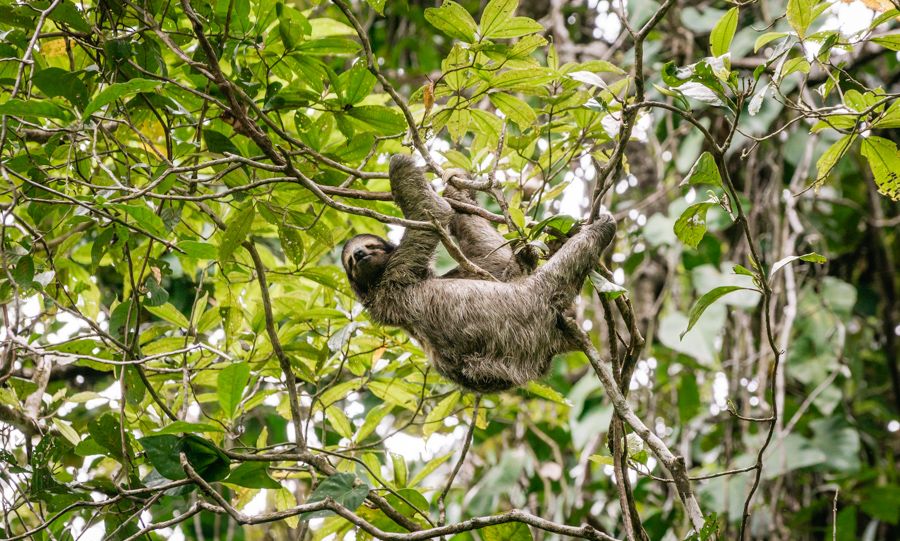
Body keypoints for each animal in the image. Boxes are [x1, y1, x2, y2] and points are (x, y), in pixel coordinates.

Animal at [341, 155, 616, 393]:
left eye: (370, 246)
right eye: (350, 260)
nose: (359, 254)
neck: (377, 283)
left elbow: (493, 259)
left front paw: (455, 185)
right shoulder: (398, 272)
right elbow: (432, 212)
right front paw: (399, 165)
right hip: (528, 310)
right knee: (556, 275)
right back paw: (599, 230)